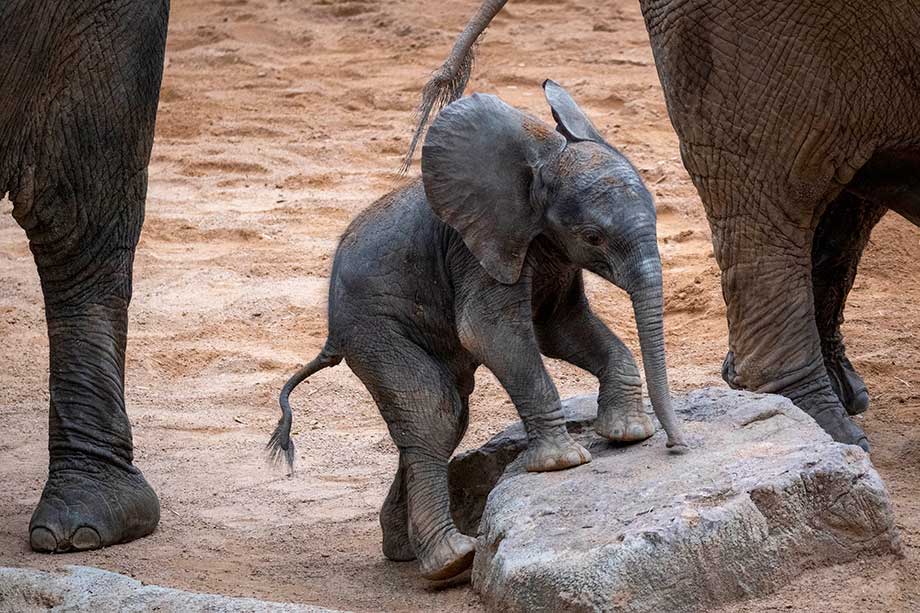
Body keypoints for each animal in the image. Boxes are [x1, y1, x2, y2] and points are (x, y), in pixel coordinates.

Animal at [266, 81, 684, 580]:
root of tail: (331, 331)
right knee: (435, 412)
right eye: (593, 237)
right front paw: (562, 464)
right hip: (374, 329)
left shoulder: (544, 249)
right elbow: (490, 331)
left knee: (443, 420)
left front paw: (627, 434)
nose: (677, 448)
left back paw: (405, 552)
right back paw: (451, 561)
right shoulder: (476, 248)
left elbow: (559, 327)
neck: (541, 160)